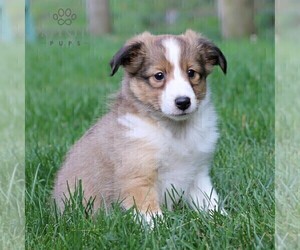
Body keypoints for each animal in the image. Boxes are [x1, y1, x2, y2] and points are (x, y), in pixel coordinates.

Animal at [53, 29, 227, 223]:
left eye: (192, 73)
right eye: (159, 75)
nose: (183, 102)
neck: (173, 131)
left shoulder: (198, 175)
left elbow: (211, 202)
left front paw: (222, 221)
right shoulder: (137, 178)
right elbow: (152, 216)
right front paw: (161, 228)